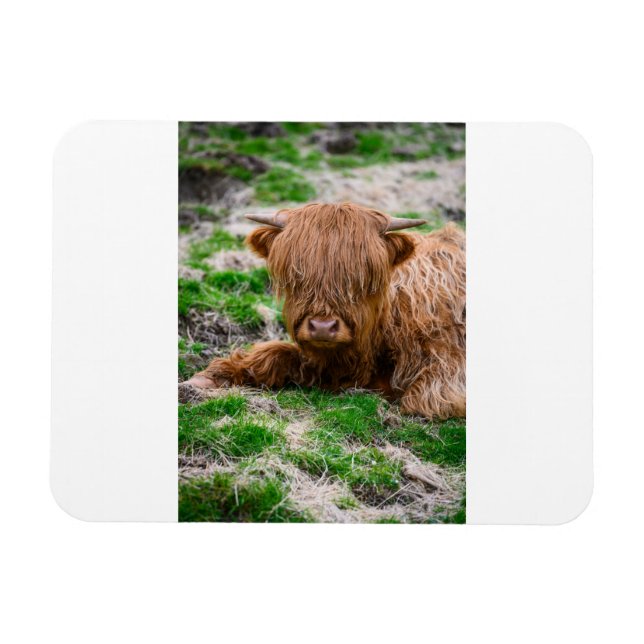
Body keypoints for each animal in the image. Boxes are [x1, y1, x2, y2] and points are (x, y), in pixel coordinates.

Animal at [187, 202, 466, 419]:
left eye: (362, 279)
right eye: (297, 276)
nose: (322, 328)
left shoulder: (446, 375)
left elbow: (419, 401)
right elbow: (274, 353)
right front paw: (209, 378)